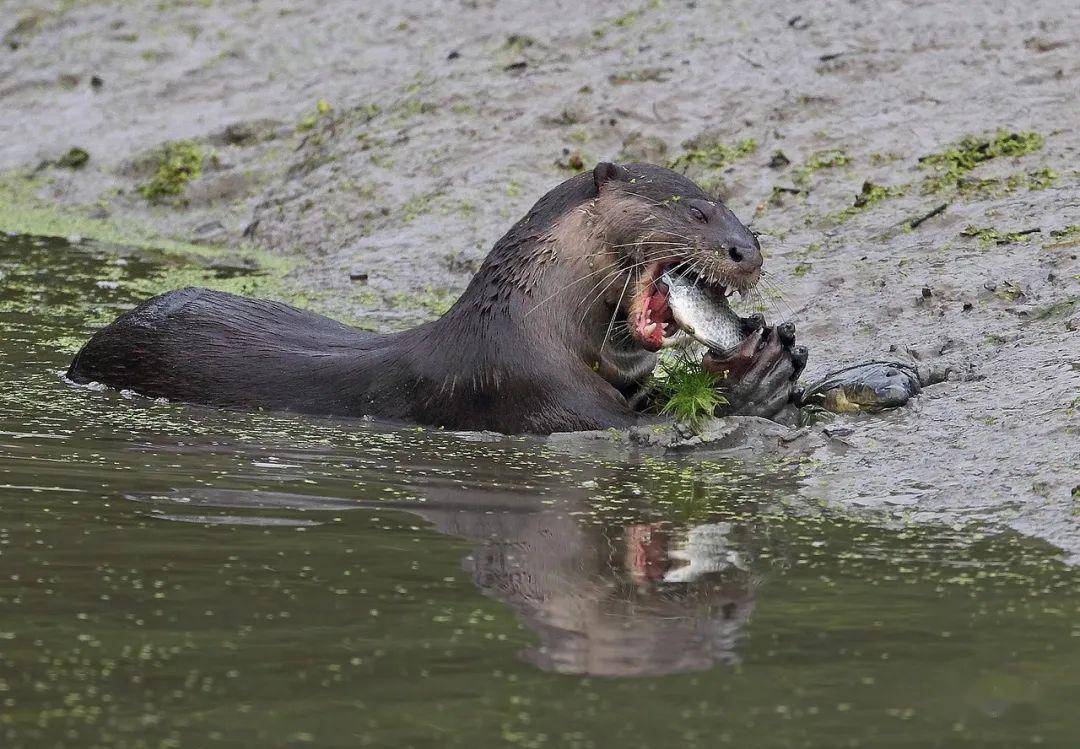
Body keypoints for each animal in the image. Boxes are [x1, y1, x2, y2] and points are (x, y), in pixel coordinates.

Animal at [67, 164, 807, 433]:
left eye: (734, 209)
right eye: (693, 209)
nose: (748, 250)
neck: (528, 319)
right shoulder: (534, 388)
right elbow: (645, 429)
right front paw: (752, 381)